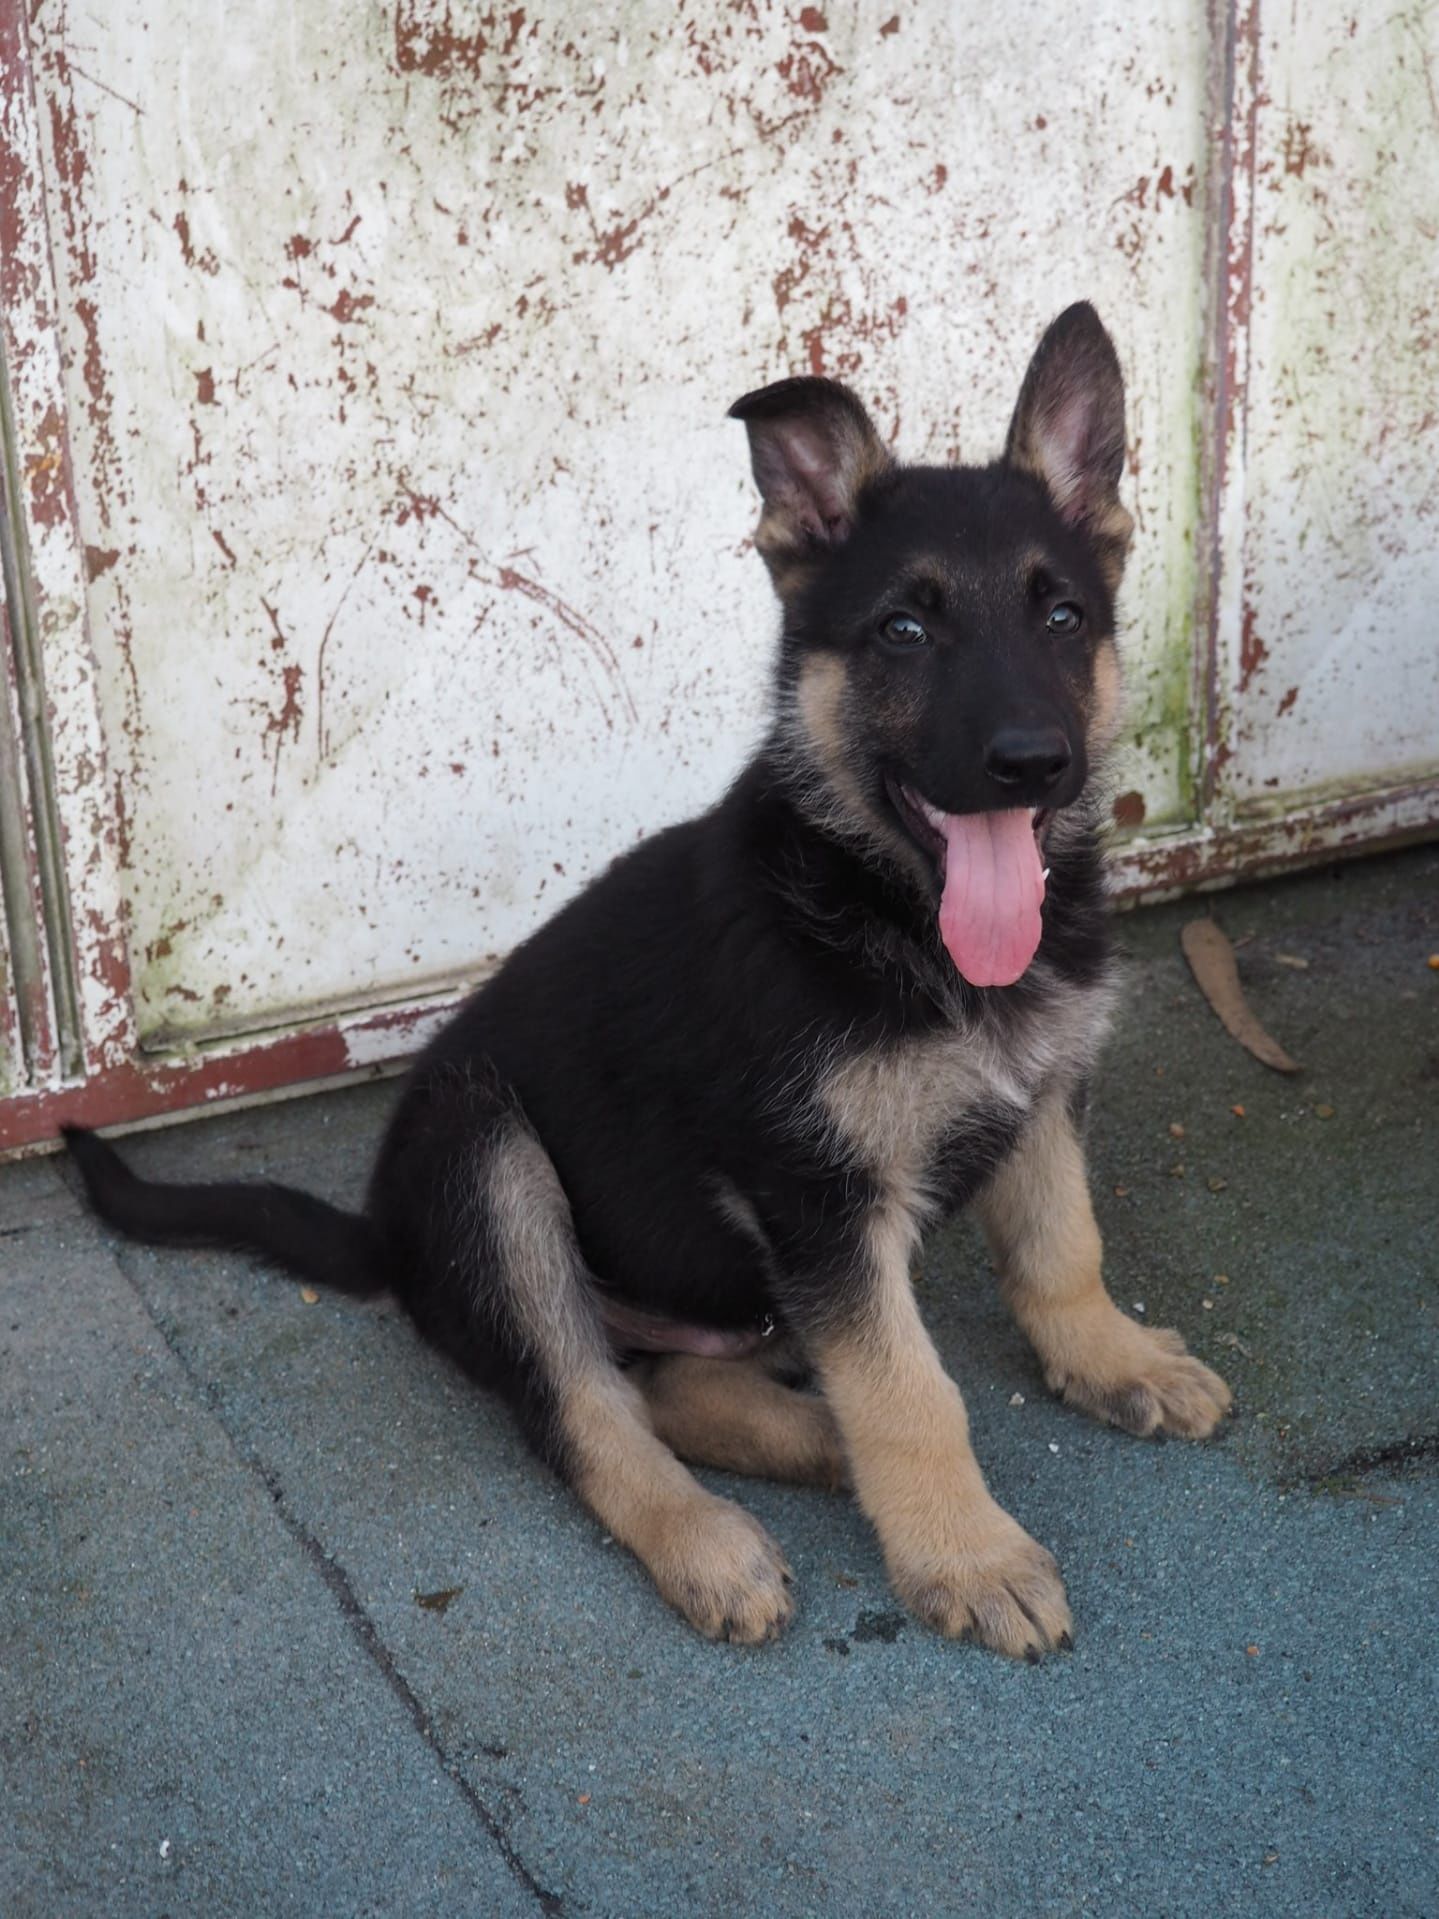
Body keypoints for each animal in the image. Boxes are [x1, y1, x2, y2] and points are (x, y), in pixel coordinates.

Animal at [67, 307, 1235, 1658]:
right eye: (903, 630)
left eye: (1062, 619)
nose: (1031, 763)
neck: (885, 908)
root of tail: (389, 1239)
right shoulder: (818, 1197)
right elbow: (904, 1387)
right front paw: (966, 1550)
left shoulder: (1040, 1097)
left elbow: (1060, 1249)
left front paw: (1112, 1360)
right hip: (488, 1157)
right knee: (586, 1414)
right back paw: (710, 1539)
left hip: (721, 1291)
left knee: (671, 1384)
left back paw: (809, 1441)